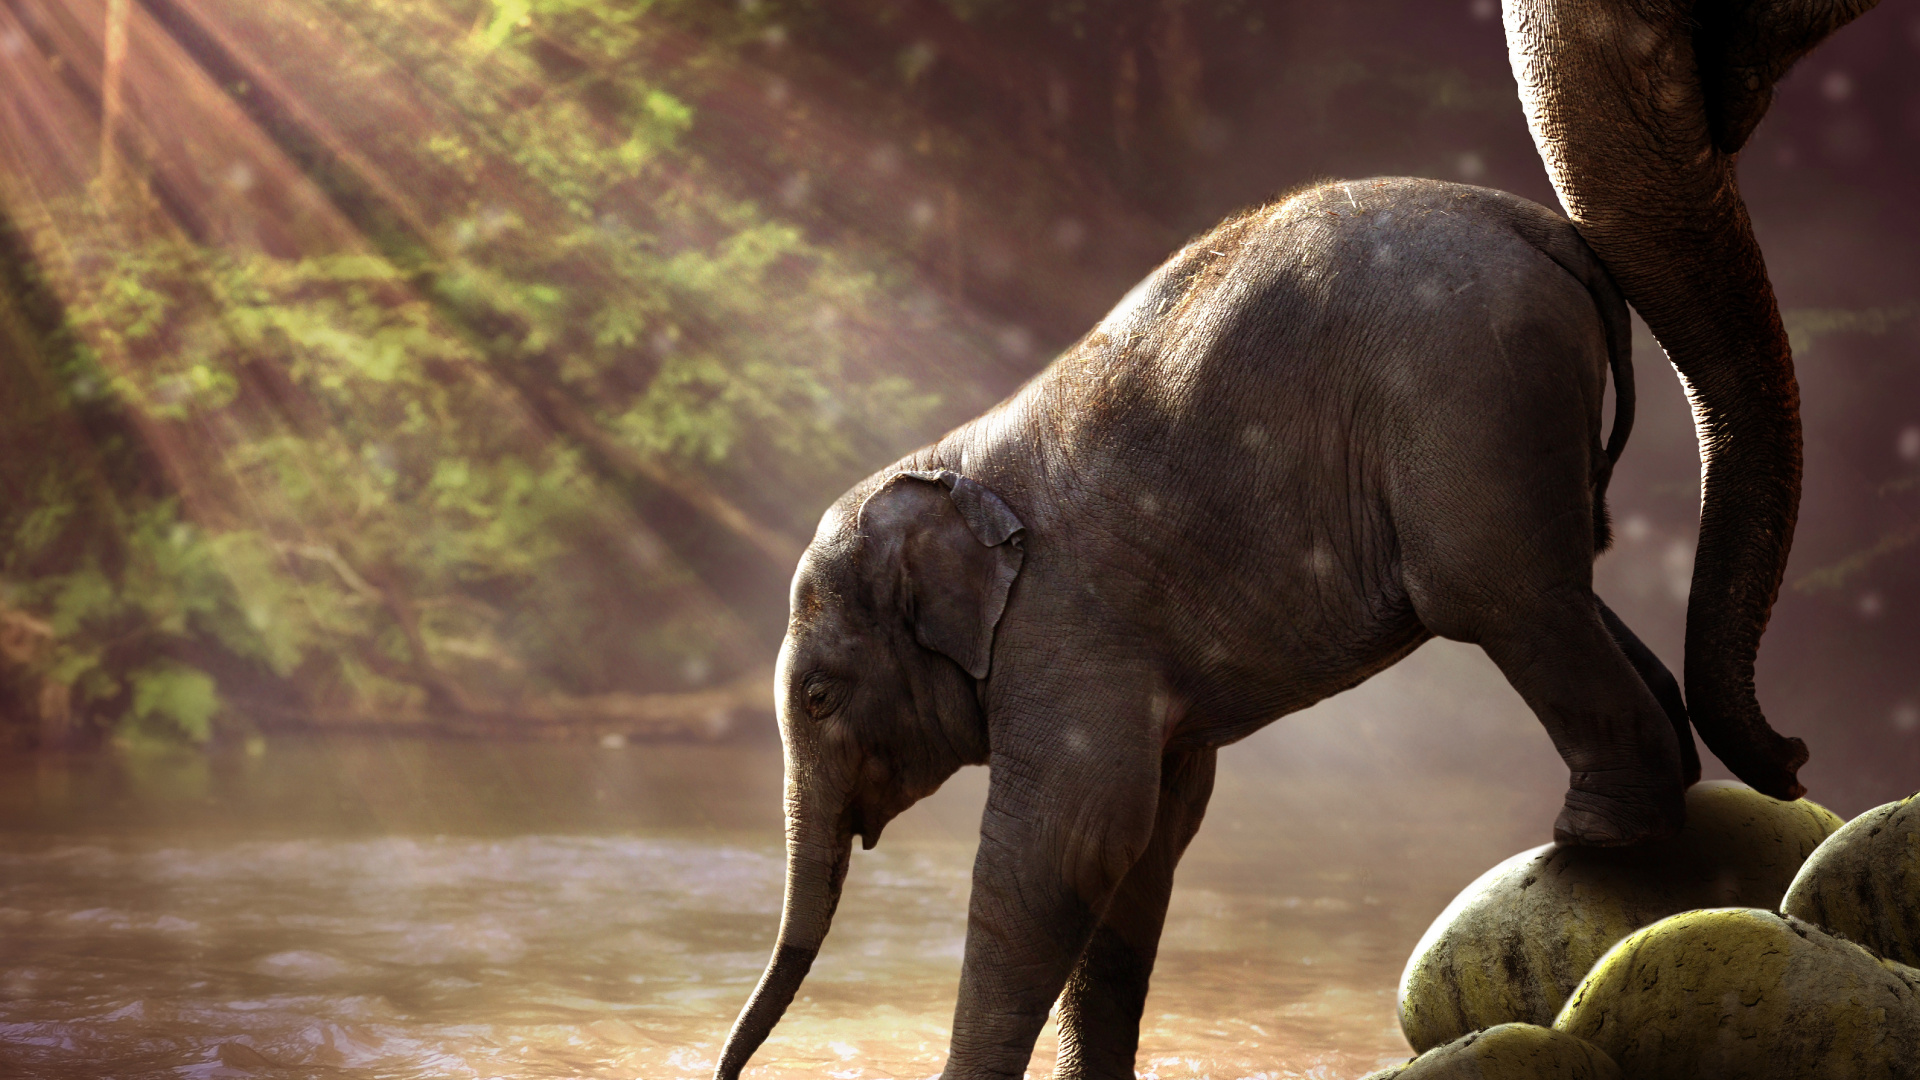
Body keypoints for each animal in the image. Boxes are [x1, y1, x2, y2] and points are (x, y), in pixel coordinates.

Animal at [713, 178, 1723, 1080]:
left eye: (818, 695)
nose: (727, 1072)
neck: (945, 466)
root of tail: (1538, 226)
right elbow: (1145, 843)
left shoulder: (1067, 630)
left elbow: (1063, 844)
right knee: (1564, 584)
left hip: (1470, 393)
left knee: (1500, 595)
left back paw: (1600, 834)